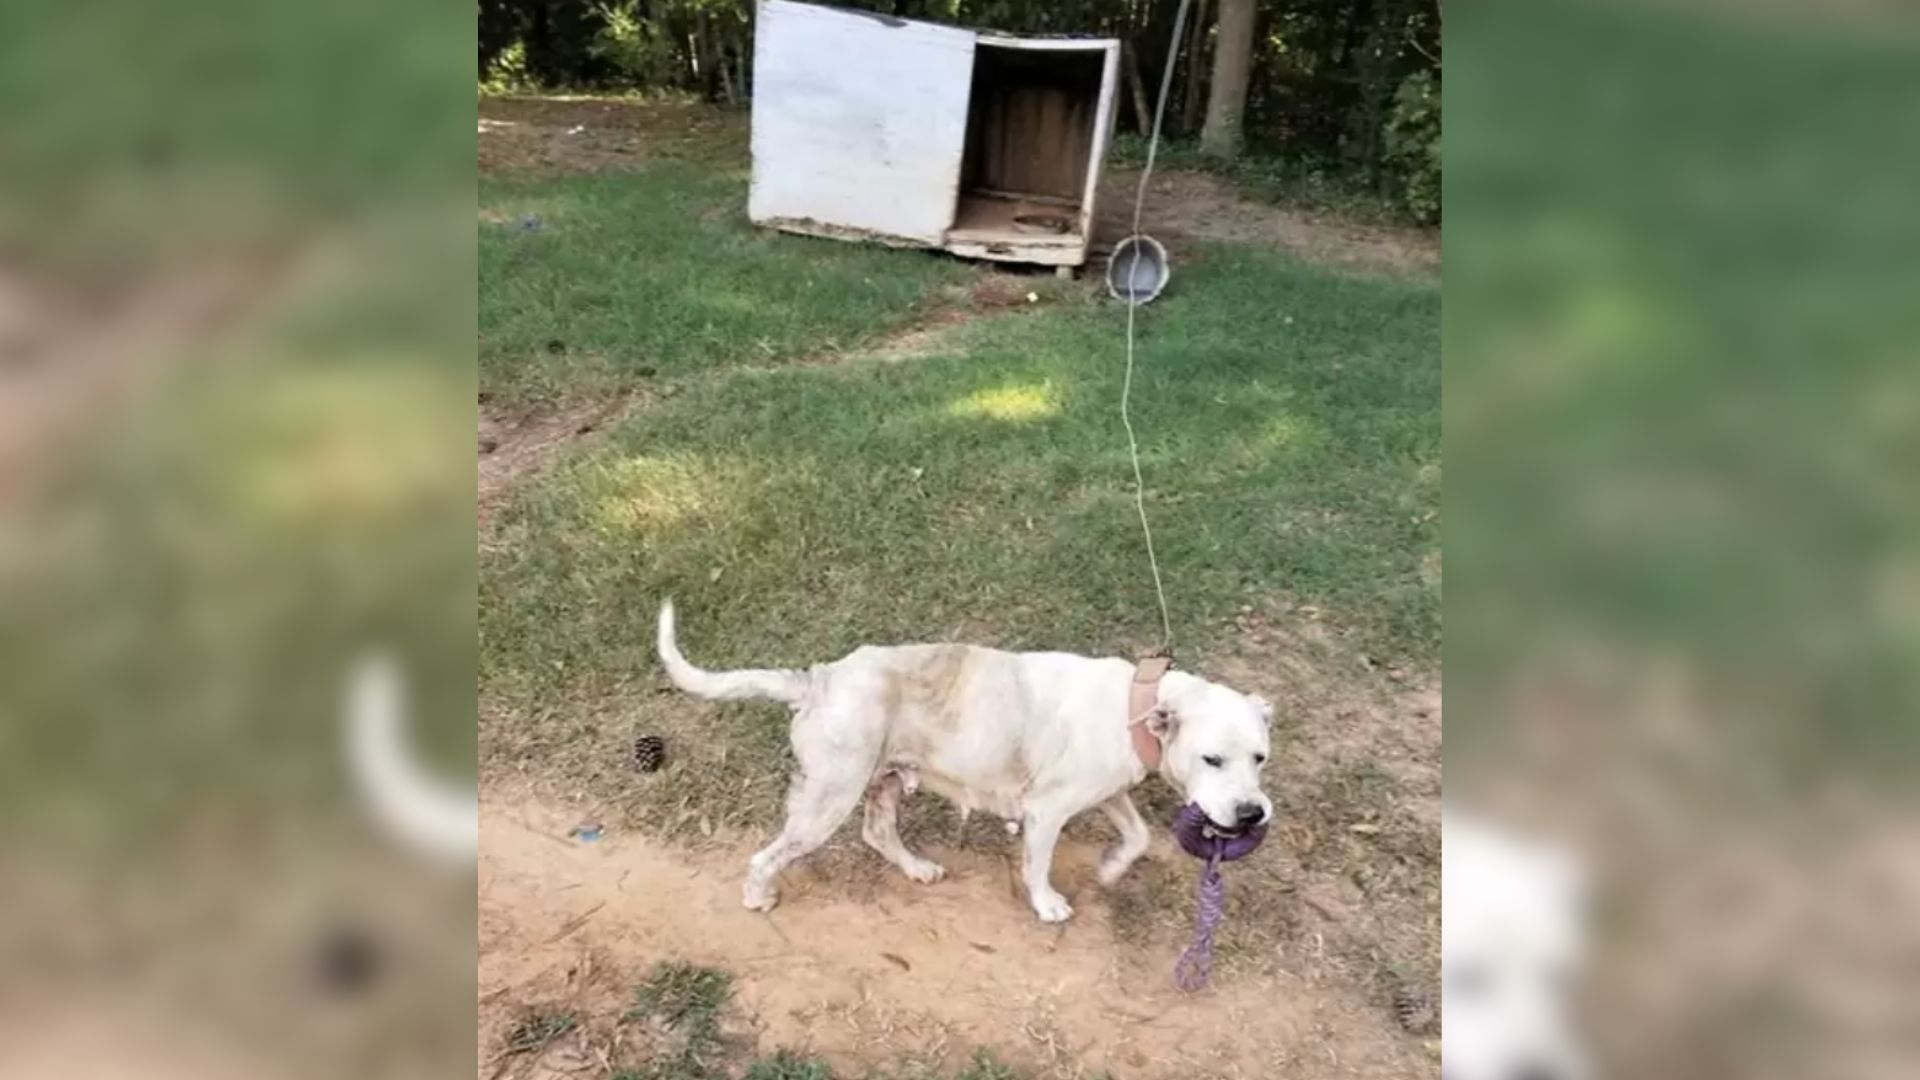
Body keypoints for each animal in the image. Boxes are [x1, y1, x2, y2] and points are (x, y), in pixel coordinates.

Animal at [652, 595, 1267, 914]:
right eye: (1212, 759)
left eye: (1260, 758)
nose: (1251, 814)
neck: (1138, 705)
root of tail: (819, 680)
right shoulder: (1049, 809)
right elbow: (1038, 864)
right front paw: (1046, 904)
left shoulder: (1107, 791)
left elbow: (1138, 836)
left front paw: (1112, 869)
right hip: (828, 798)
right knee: (768, 855)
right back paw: (759, 896)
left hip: (884, 781)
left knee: (878, 832)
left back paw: (917, 868)